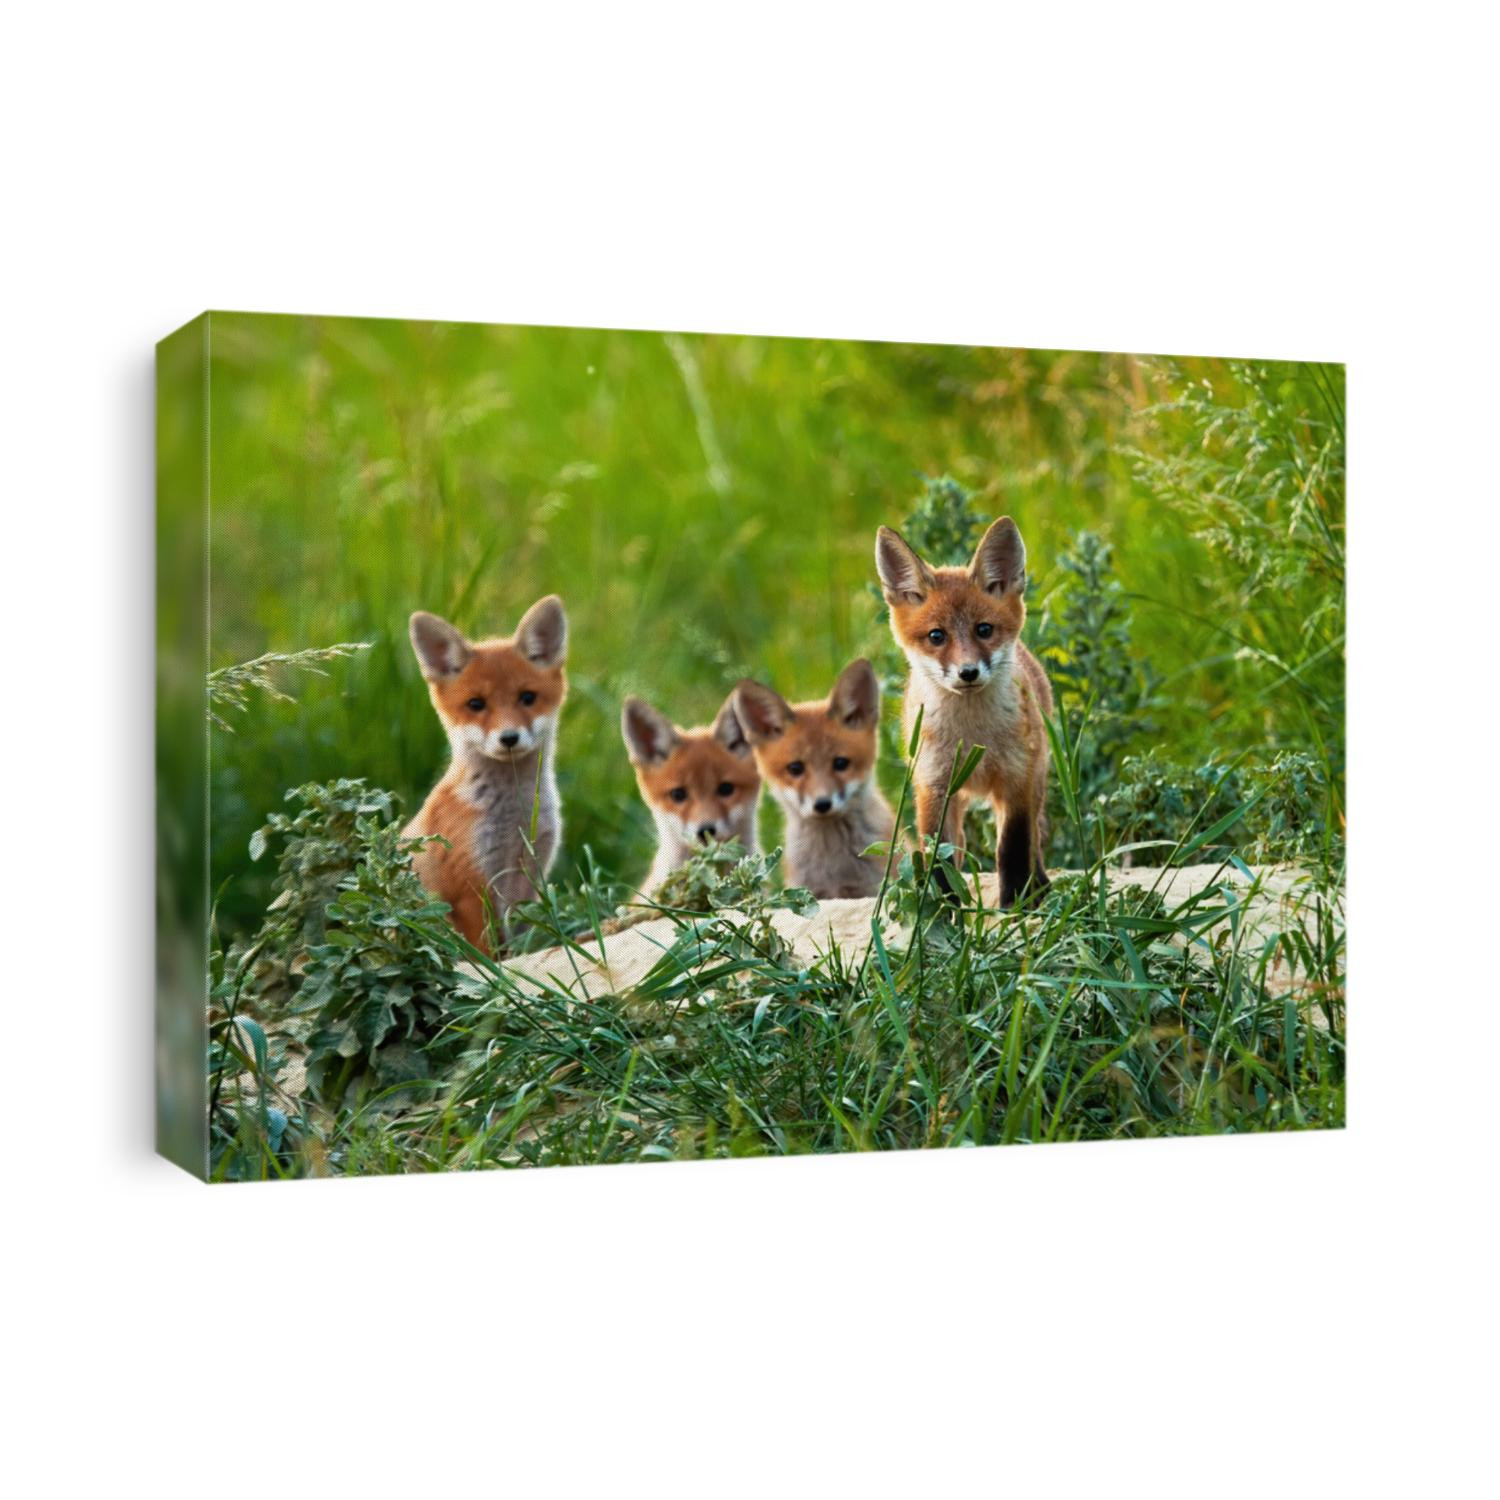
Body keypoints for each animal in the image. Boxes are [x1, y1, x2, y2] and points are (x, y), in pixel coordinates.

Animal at [404, 595, 568, 951]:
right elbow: (489, 954)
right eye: (476, 704)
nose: (509, 738)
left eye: (527, 697)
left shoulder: (530, 872)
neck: (514, 815)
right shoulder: (470, 887)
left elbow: (517, 942)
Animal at [732, 658, 895, 901]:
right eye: (795, 768)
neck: (833, 865)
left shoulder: (874, 889)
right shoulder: (809, 892)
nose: (822, 804)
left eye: (840, 763)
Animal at [876, 516, 1053, 907]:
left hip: (1037, 777)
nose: (968, 672)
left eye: (983, 629)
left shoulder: (1016, 779)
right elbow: (939, 857)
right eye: (936, 636)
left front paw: (1014, 903)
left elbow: (1012, 848)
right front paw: (941, 911)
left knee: (1034, 837)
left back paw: (1040, 887)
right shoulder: (934, 786)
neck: (974, 738)